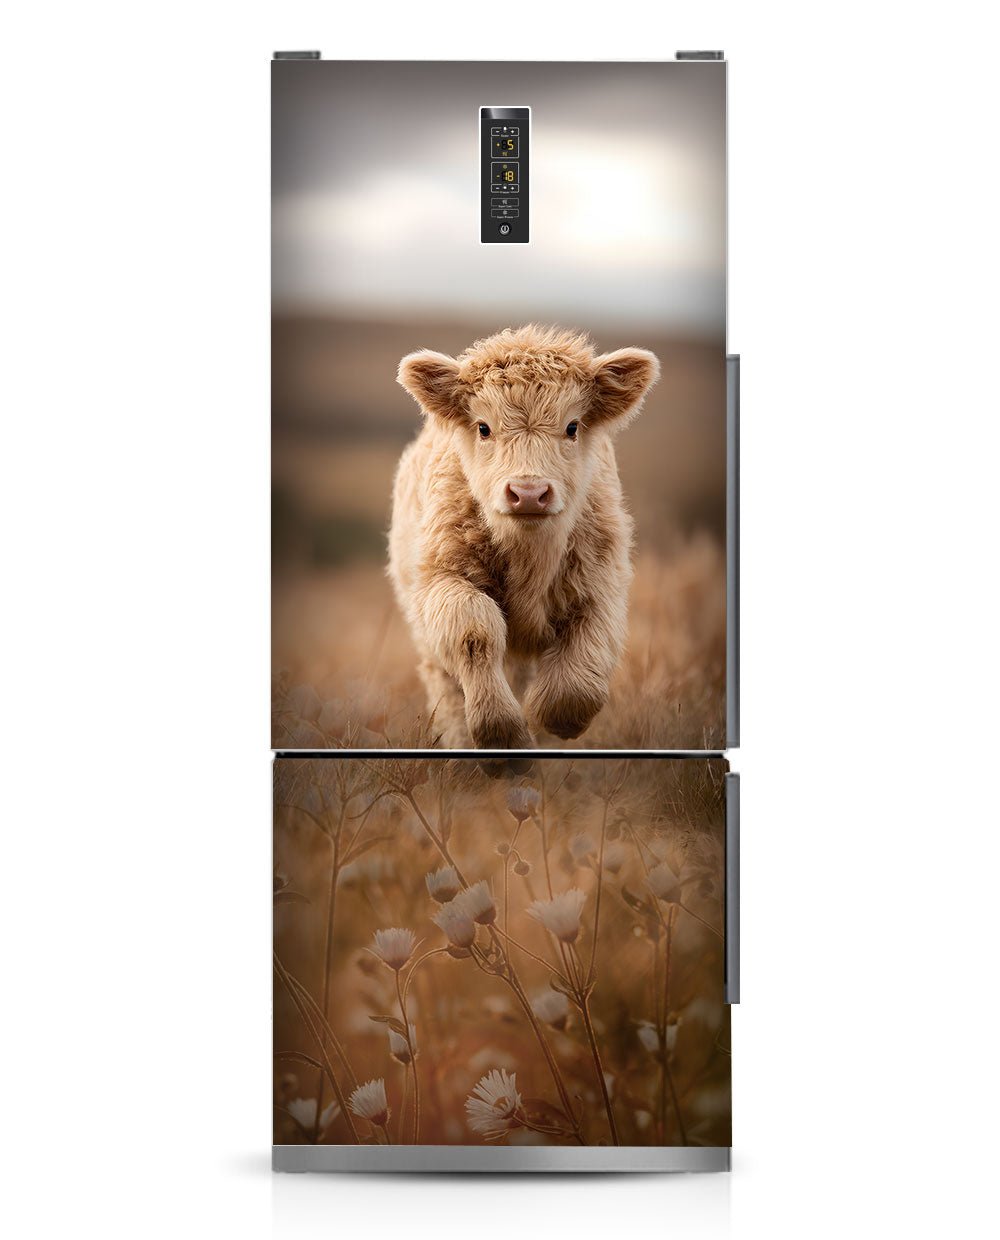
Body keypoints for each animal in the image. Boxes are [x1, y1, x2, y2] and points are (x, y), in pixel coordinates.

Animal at [388, 324, 659, 749]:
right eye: (484, 427)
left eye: (572, 426)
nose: (528, 492)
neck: (529, 556)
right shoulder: (442, 580)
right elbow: (475, 630)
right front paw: (503, 734)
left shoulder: (601, 587)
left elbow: (578, 679)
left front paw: (547, 717)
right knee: (447, 688)